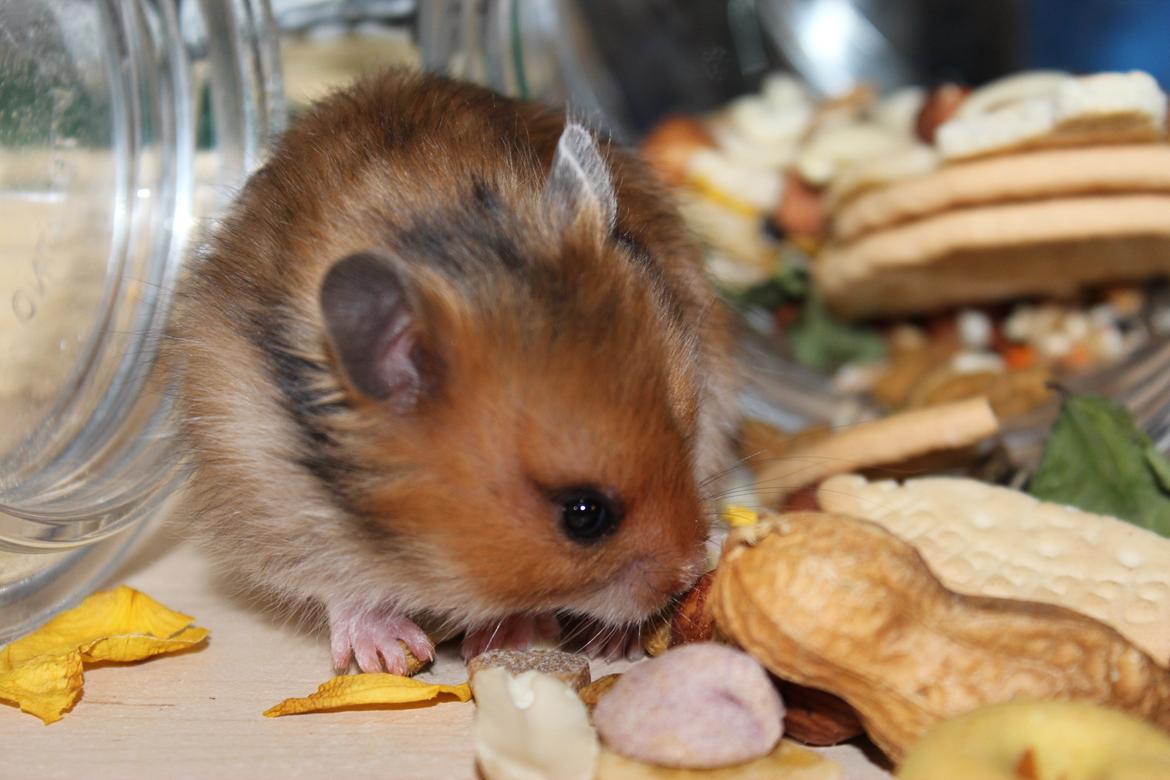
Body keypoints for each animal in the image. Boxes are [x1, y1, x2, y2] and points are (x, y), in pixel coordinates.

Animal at [164, 70, 737, 673]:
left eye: (685, 435)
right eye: (584, 515)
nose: (690, 573)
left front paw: (518, 636)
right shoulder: (272, 506)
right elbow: (340, 586)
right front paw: (391, 654)